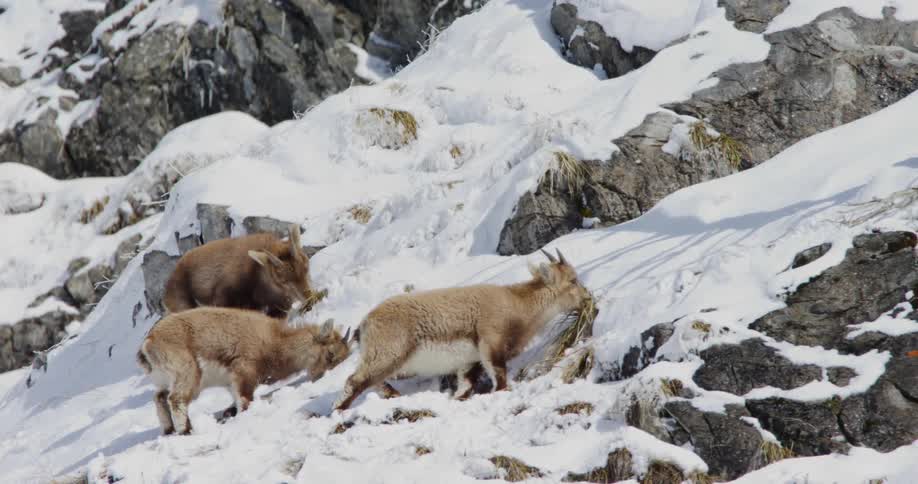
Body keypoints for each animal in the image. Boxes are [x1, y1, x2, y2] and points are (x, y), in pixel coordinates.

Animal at [137, 307, 350, 435]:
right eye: (330, 353)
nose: (321, 377)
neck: (273, 342)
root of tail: (149, 342)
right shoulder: (244, 371)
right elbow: (244, 399)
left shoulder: (232, 381)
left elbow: (234, 398)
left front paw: (229, 411)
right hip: (187, 373)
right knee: (176, 399)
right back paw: (186, 431)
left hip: (165, 379)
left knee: (159, 398)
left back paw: (168, 430)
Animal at [333, 249, 591, 410]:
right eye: (572, 280)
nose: (588, 298)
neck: (518, 305)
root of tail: (364, 324)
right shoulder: (491, 342)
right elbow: (499, 376)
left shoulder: (469, 361)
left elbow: (465, 385)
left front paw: (458, 398)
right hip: (388, 353)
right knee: (354, 381)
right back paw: (340, 409)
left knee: (373, 381)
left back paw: (393, 395)